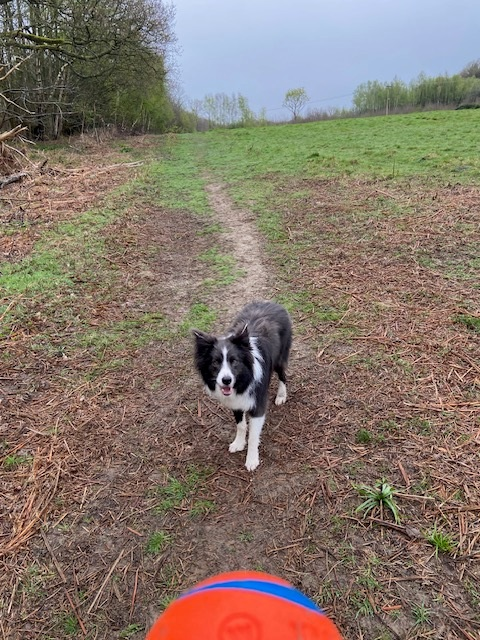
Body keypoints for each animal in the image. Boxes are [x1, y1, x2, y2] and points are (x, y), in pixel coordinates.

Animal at [192, 300, 290, 470]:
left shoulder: (257, 406)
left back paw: (281, 395)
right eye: (215, 362)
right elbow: (241, 425)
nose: (226, 380)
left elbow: (253, 436)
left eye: (234, 361)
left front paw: (251, 459)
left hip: (279, 359)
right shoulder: (236, 401)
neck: (244, 379)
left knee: (283, 375)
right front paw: (238, 443)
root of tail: (273, 303)